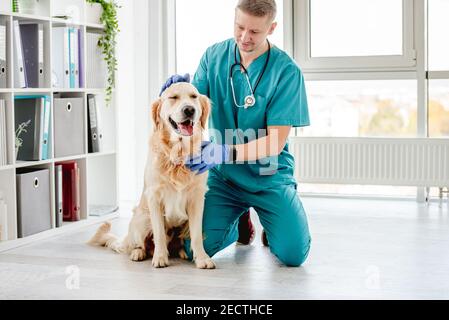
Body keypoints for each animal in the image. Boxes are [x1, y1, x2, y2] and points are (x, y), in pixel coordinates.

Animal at [88, 81, 214, 268]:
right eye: (173, 97)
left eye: (194, 97)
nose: (189, 110)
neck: (178, 154)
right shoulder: (155, 197)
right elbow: (159, 233)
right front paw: (160, 257)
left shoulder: (196, 198)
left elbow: (197, 235)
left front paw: (202, 258)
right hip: (141, 218)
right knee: (142, 243)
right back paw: (138, 252)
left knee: (179, 241)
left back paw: (182, 252)